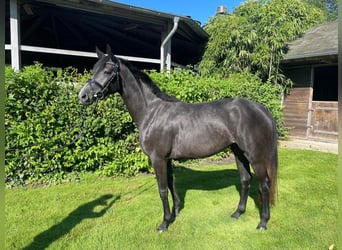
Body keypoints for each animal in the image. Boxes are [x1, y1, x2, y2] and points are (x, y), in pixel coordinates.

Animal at [79, 45, 278, 232]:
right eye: (94, 69)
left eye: (107, 70)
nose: (83, 96)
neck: (152, 113)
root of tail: (262, 108)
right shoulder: (167, 160)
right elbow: (171, 186)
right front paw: (175, 213)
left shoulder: (158, 159)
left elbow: (162, 190)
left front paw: (164, 223)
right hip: (238, 152)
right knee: (245, 180)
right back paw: (238, 212)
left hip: (255, 156)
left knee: (264, 184)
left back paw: (263, 222)